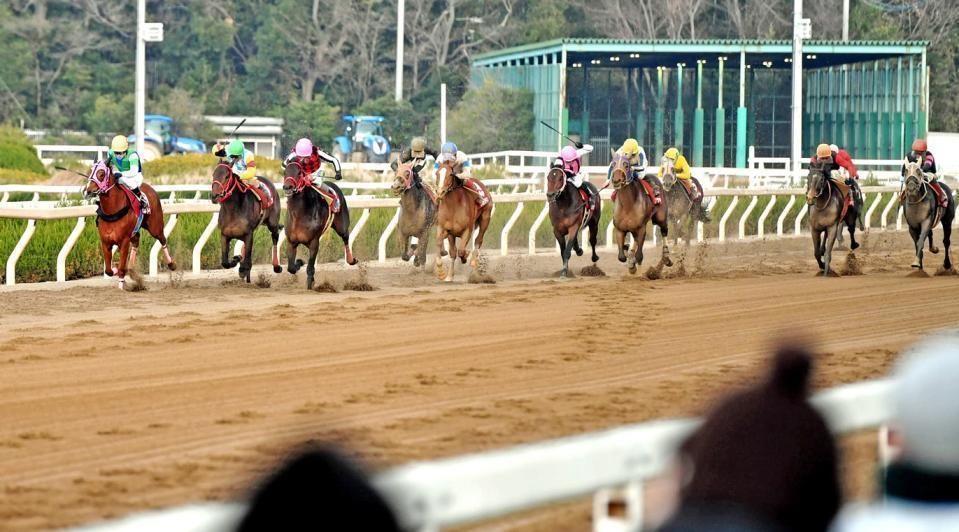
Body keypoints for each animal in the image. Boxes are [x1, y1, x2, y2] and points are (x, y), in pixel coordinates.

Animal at [83, 160, 176, 289]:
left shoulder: (124, 241)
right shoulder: (106, 242)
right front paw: (117, 270)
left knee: (162, 239)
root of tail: (150, 187)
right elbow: (108, 270)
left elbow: (121, 268)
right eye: (90, 172)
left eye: (101, 174)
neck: (112, 212)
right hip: (135, 231)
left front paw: (121, 286)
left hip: (155, 227)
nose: (88, 191)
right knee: (136, 241)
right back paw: (132, 269)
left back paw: (171, 264)